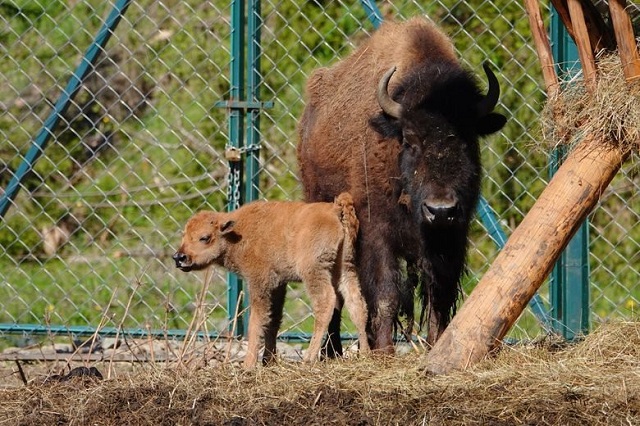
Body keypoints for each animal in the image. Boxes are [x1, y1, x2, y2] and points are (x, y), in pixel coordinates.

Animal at [172, 193, 370, 370]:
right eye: (183, 236)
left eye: (204, 237)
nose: (179, 257)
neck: (237, 232)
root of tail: (335, 209)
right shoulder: (278, 284)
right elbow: (273, 320)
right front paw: (268, 360)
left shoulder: (259, 282)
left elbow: (256, 321)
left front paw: (249, 365)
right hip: (345, 267)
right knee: (357, 304)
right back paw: (366, 354)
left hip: (314, 271)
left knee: (326, 302)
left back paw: (308, 359)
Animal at [298, 17, 508, 356]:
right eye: (409, 140)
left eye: (467, 139)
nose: (440, 209)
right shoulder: (376, 232)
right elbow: (386, 295)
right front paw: (384, 353)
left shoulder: (451, 236)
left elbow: (439, 295)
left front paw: (437, 345)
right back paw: (332, 351)